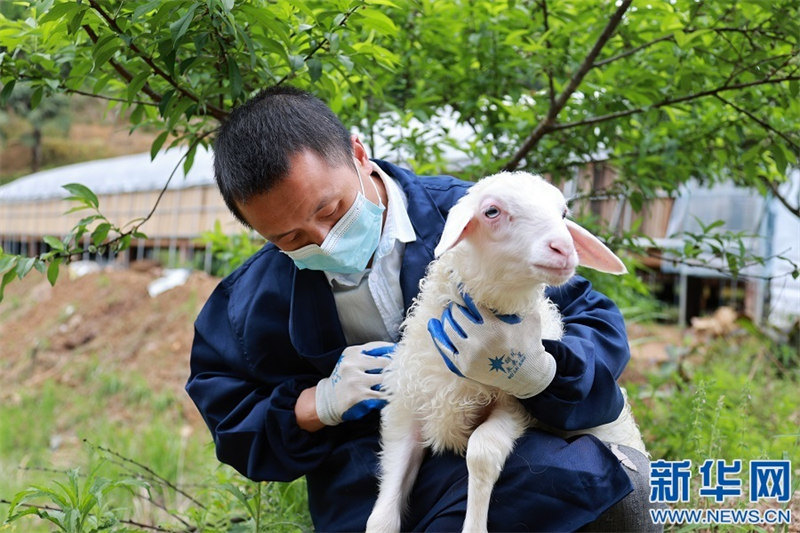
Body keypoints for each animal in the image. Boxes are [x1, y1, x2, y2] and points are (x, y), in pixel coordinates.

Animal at [366, 170, 648, 532]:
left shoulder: (514, 406)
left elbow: (482, 452)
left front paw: (474, 526)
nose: (565, 248)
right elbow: (384, 508)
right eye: (492, 212)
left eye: (563, 214)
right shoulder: (409, 403)